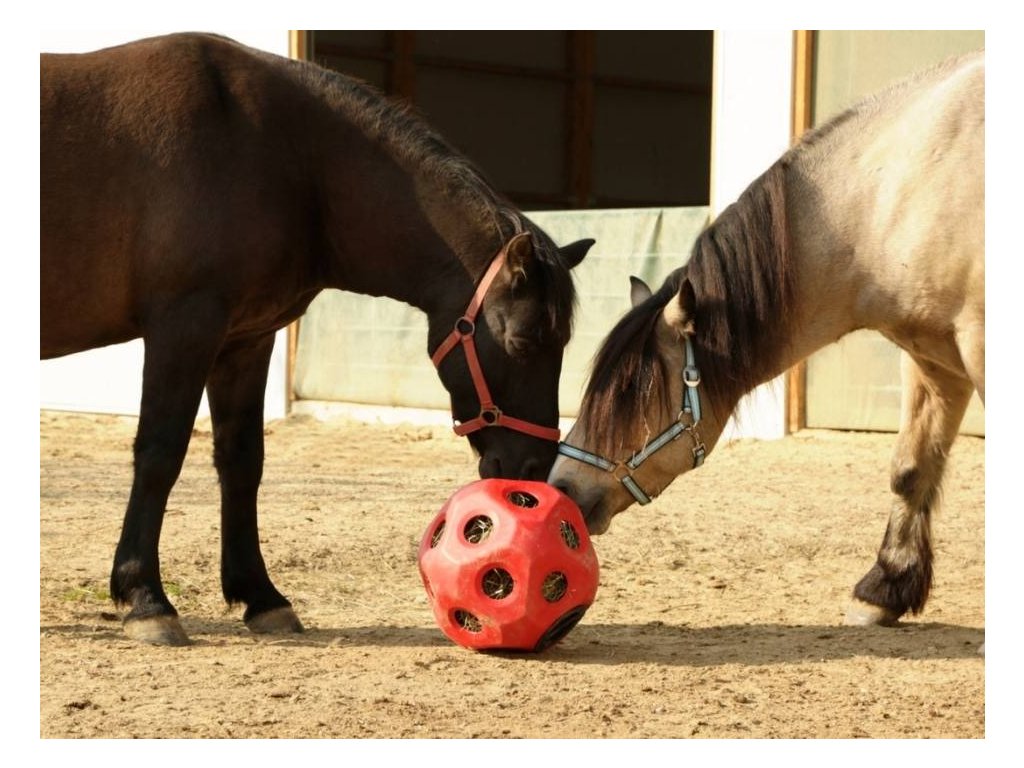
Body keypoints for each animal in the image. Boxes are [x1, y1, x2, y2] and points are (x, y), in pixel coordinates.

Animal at [40, 33, 593, 646]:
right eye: (522, 342)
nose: (533, 472)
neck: (281, 154)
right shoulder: (183, 327)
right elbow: (160, 454)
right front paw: (145, 599)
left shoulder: (245, 341)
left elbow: (242, 461)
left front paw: (261, 597)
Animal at [550, 50, 983, 629]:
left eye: (631, 395)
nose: (562, 488)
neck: (897, 192)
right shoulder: (932, 358)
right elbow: (910, 468)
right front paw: (883, 589)